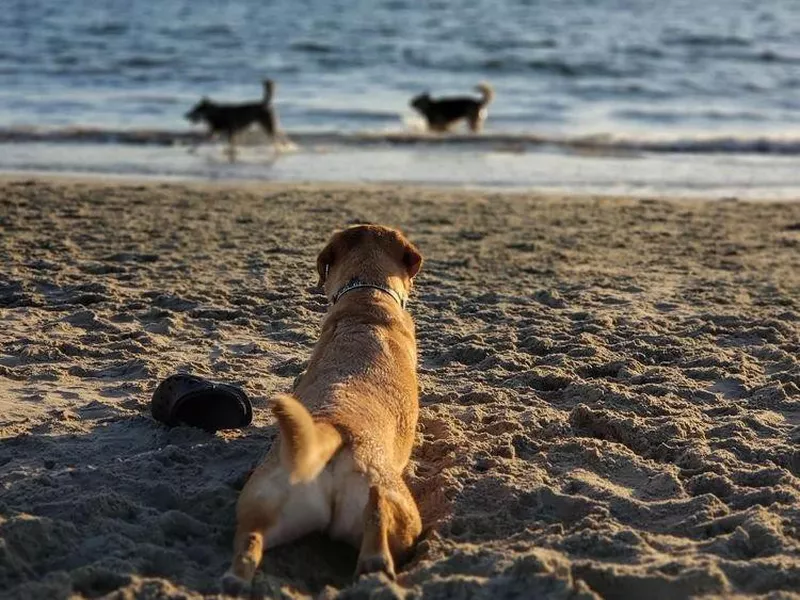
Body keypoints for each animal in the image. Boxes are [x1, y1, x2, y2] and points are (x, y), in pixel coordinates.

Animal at [222, 224, 424, 592]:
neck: (367, 295)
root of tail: (334, 429)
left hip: (264, 501)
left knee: (250, 542)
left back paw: (235, 580)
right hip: (402, 512)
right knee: (380, 518)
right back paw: (377, 561)